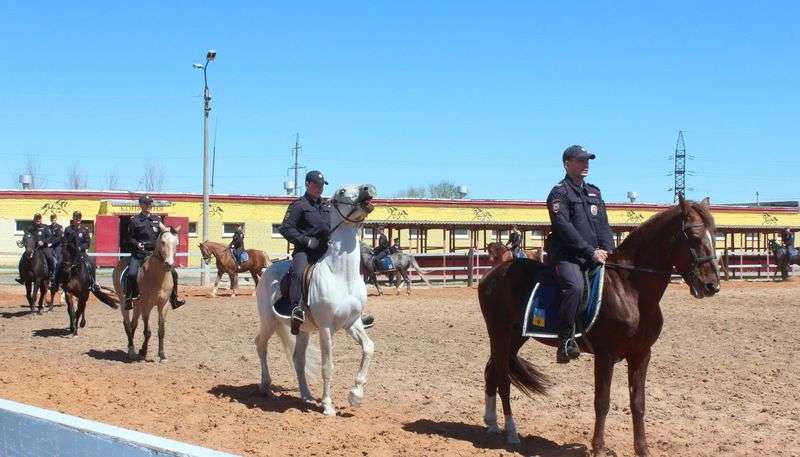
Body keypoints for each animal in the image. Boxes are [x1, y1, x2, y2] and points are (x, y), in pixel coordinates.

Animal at [258, 183, 380, 416]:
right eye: (342, 192)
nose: (369, 188)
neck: (342, 275)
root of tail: (267, 269)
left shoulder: (352, 323)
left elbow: (368, 347)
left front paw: (356, 395)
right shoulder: (326, 328)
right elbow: (328, 366)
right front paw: (328, 406)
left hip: (302, 330)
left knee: (298, 359)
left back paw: (306, 396)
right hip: (269, 322)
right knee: (261, 346)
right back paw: (265, 385)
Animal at [478, 194, 720, 454]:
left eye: (714, 235)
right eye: (695, 238)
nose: (712, 285)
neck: (630, 289)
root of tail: (493, 273)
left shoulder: (641, 354)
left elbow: (638, 402)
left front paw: (642, 449)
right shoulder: (606, 354)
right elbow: (602, 401)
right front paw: (599, 448)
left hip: (516, 336)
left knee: (492, 371)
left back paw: (492, 425)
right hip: (499, 333)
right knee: (503, 379)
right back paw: (511, 433)